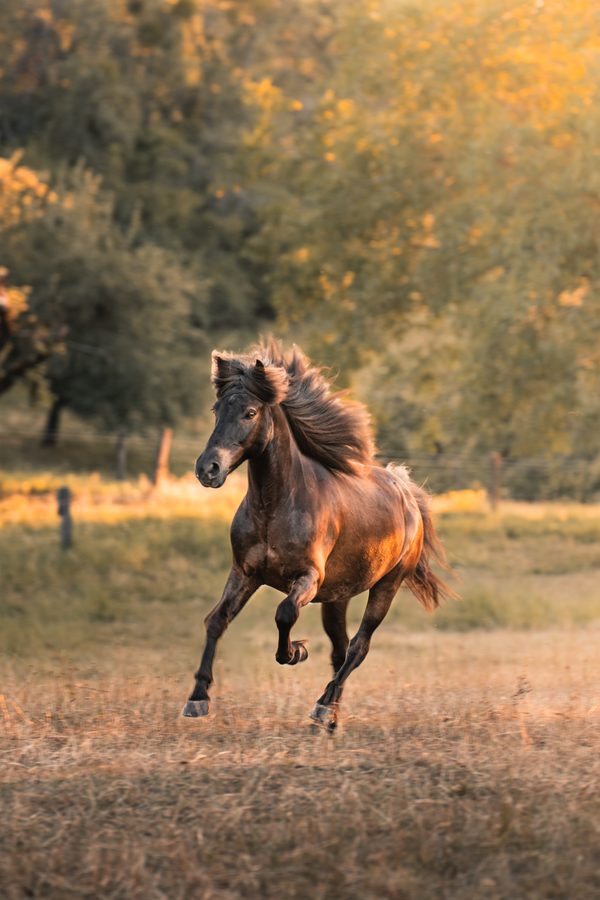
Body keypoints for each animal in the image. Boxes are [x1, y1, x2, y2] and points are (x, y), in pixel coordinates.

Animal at [182, 341, 454, 731]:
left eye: (250, 412)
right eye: (216, 409)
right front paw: (197, 698)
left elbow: (284, 614)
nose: (208, 469)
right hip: (337, 597)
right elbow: (216, 620)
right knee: (341, 649)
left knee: (358, 646)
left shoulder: (308, 577)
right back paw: (330, 717)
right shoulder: (245, 573)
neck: (275, 505)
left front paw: (295, 651)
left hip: (386, 586)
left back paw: (323, 707)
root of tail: (407, 493)